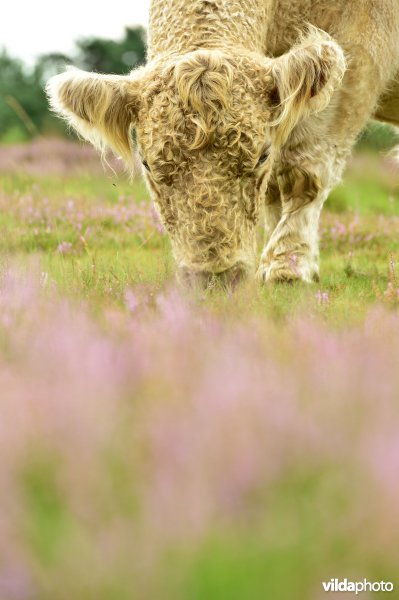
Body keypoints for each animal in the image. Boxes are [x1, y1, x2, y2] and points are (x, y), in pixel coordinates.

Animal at [47, 0, 399, 288]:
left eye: (261, 156)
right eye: (147, 164)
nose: (215, 277)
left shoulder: (358, 56)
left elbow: (302, 171)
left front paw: (288, 263)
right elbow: (273, 189)